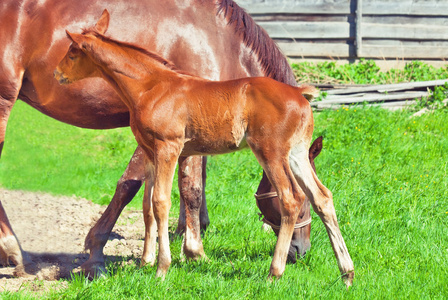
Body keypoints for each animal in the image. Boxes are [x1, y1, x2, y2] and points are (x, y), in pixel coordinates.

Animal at [55, 26, 354, 286]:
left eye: (72, 52)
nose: (57, 73)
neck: (150, 86)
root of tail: (299, 93)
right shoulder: (151, 153)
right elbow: (147, 205)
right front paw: (145, 262)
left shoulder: (168, 148)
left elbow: (161, 202)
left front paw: (162, 269)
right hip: (297, 154)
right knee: (322, 197)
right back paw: (347, 274)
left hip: (271, 152)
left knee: (291, 198)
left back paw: (274, 273)